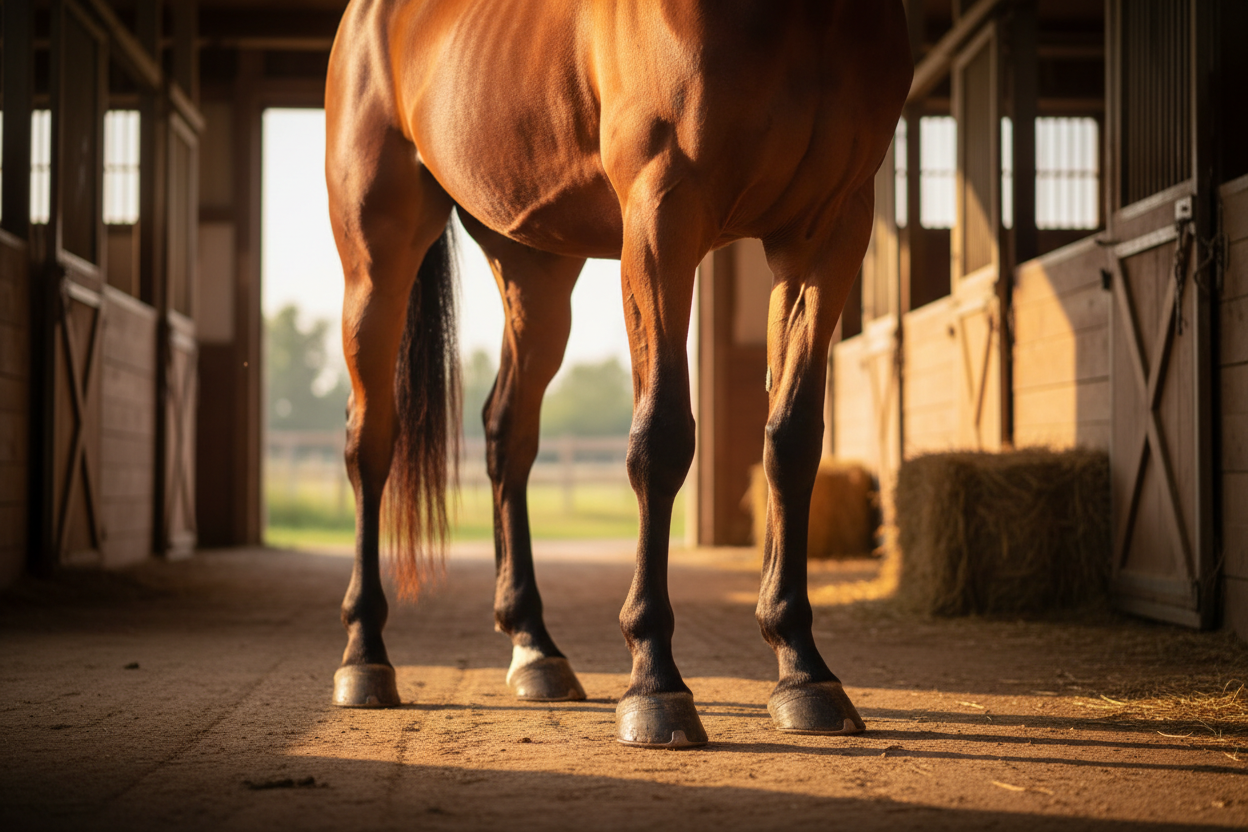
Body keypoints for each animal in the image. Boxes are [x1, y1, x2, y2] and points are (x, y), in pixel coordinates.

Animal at [324, 0, 912, 748]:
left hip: (532, 266)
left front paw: (804, 671)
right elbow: (660, 440)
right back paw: (364, 657)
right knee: (370, 441)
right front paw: (655, 685)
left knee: (506, 434)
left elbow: (793, 441)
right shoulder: (662, 216)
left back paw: (535, 650)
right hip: (376, 255)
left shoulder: (826, 230)